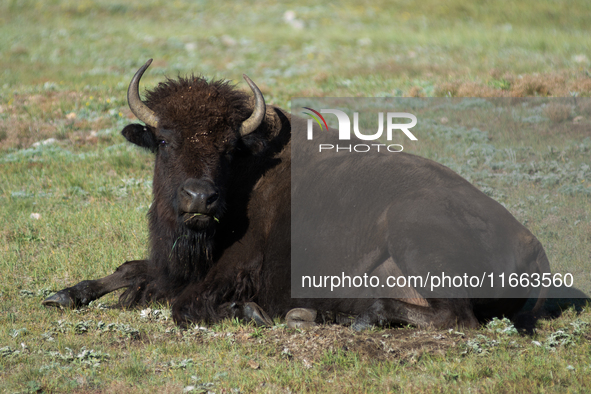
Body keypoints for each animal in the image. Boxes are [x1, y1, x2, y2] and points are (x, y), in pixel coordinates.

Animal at [44, 59, 552, 330]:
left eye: (228, 147)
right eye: (164, 139)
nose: (199, 199)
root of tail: (535, 248)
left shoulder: (227, 271)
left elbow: (184, 306)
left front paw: (249, 311)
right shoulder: (174, 265)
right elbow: (131, 269)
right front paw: (63, 295)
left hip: (414, 232)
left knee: (455, 317)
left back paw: (343, 317)